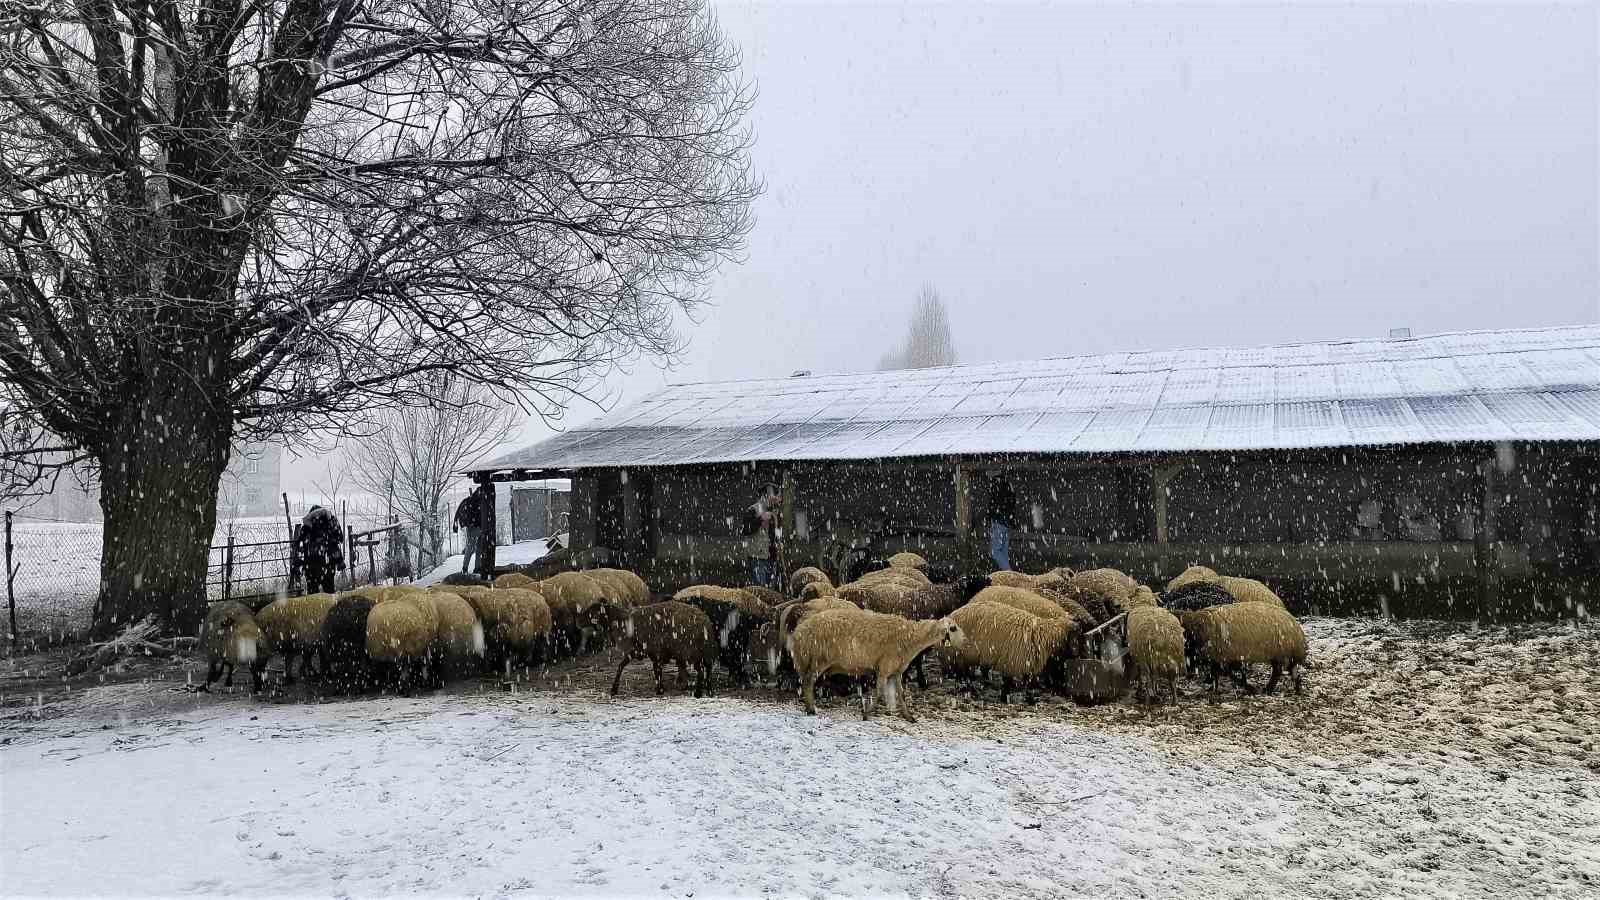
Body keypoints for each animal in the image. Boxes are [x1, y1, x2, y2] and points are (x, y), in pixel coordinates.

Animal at [787, 602, 960, 720]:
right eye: (953, 628)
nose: (963, 642)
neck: (911, 638)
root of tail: (799, 632)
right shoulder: (884, 668)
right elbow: (879, 692)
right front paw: (867, 713)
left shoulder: (896, 671)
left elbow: (901, 694)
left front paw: (908, 716)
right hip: (818, 659)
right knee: (808, 682)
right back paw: (811, 709)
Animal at [934, 598, 1075, 704]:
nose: (1074, 655)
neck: (1044, 634)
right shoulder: (1013, 661)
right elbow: (1010, 683)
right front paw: (1009, 699)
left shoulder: (1025, 662)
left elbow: (1027, 683)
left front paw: (1029, 700)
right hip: (957, 655)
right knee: (962, 675)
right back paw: (969, 692)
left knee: (963, 675)